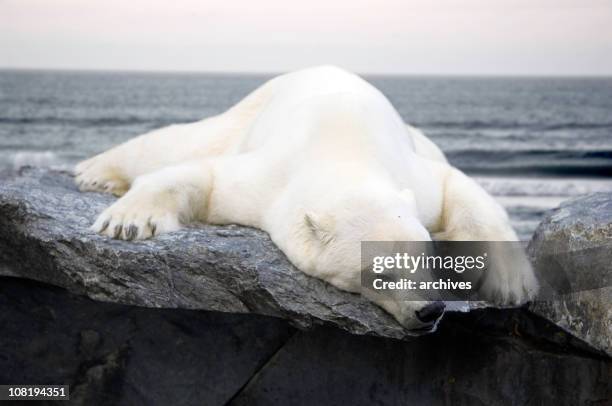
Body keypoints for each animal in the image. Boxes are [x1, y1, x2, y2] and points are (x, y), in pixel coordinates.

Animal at [74, 66, 536, 330]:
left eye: (424, 259)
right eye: (380, 274)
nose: (430, 310)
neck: (345, 155)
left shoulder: (412, 174)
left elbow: (457, 187)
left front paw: (512, 285)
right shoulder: (270, 182)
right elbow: (206, 176)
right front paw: (127, 221)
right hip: (243, 116)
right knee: (178, 144)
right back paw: (93, 173)